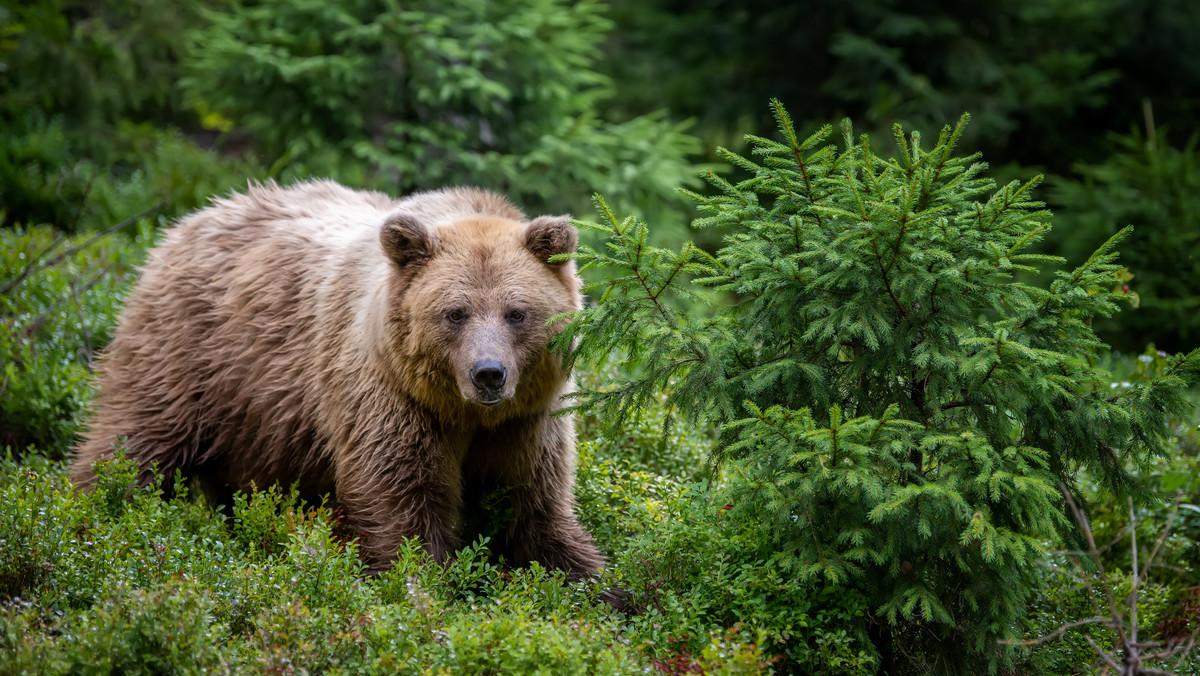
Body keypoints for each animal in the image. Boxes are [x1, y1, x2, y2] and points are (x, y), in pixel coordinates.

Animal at [70, 178, 604, 576]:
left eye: (517, 313)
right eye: (455, 313)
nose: (488, 374)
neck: (462, 412)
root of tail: (189, 220)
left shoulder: (528, 420)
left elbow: (534, 506)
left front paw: (595, 583)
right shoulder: (388, 396)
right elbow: (400, 498)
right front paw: (423, 582)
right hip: (191, 357)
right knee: (133, 441)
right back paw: (92, 514)